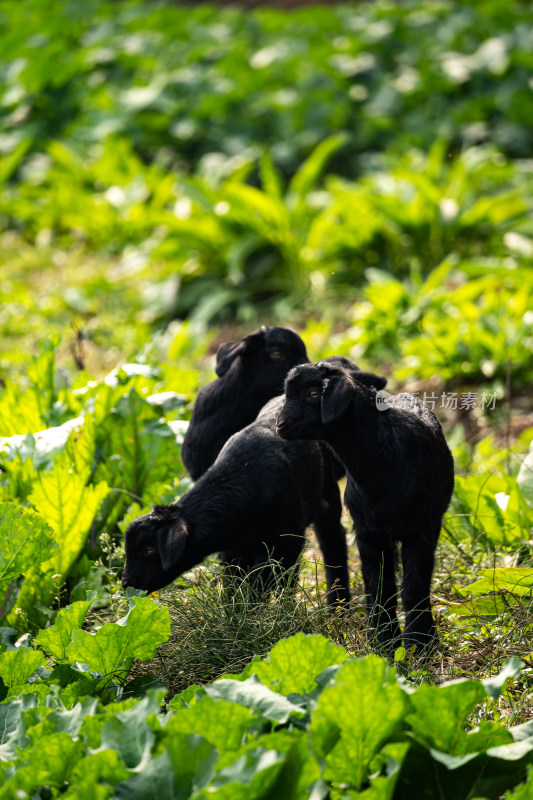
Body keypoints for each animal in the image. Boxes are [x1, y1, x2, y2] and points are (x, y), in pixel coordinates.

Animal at [122, 394, 352, 608]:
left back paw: (338, 606)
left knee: (332, 538)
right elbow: (235, 585)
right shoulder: (234, 551)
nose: (126, 584)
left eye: (149, 549)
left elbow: (271, 582)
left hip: (326, 489)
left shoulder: (288, 540)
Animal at [276, 362, 456, 656]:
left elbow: (414, 587)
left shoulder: (418, 531)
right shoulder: (367, 534)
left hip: (434, 519)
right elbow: (379, 586)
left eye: (313, 393)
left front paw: (418, 645)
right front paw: (383, 642)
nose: (281, 425)